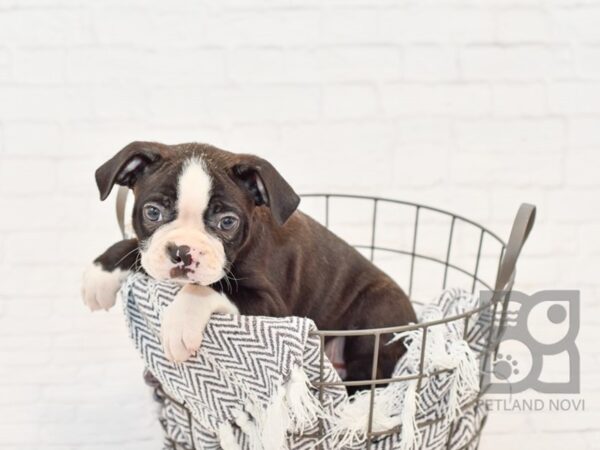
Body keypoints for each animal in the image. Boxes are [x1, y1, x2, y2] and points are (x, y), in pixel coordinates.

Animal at [81, 142, 418, 390]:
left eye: (227, 222)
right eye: (152, 212)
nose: (183, 252)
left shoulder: (272, 307)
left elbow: (207, 289)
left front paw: (178, 325)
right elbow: (135, 248)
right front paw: (101, 274)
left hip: (375, 323)